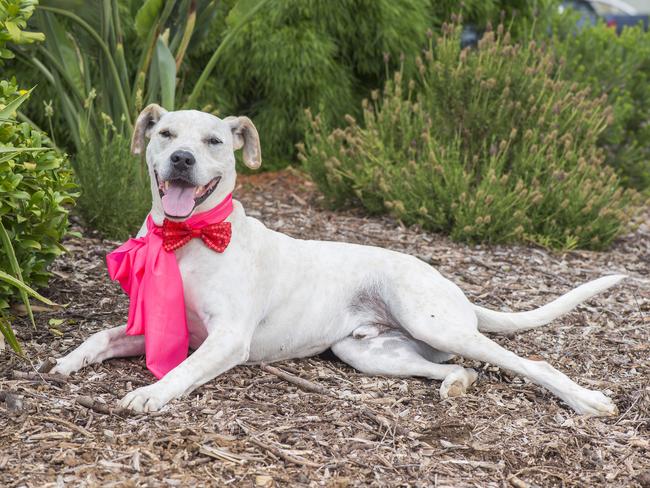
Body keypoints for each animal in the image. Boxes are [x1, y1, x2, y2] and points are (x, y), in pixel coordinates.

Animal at [54, 106, 624, 416]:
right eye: (165, 134)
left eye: (214, 141)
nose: (181, 158)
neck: (187, 237)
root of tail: (448, 282)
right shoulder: (152, 325)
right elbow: (98, 337)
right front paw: (65, 363)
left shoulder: (228, 338)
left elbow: (184, 368)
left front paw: (151, 393)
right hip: (368, 353)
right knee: (459, 369)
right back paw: (457, 384)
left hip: (432, 322)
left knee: (528, 363)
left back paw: (588, 402)